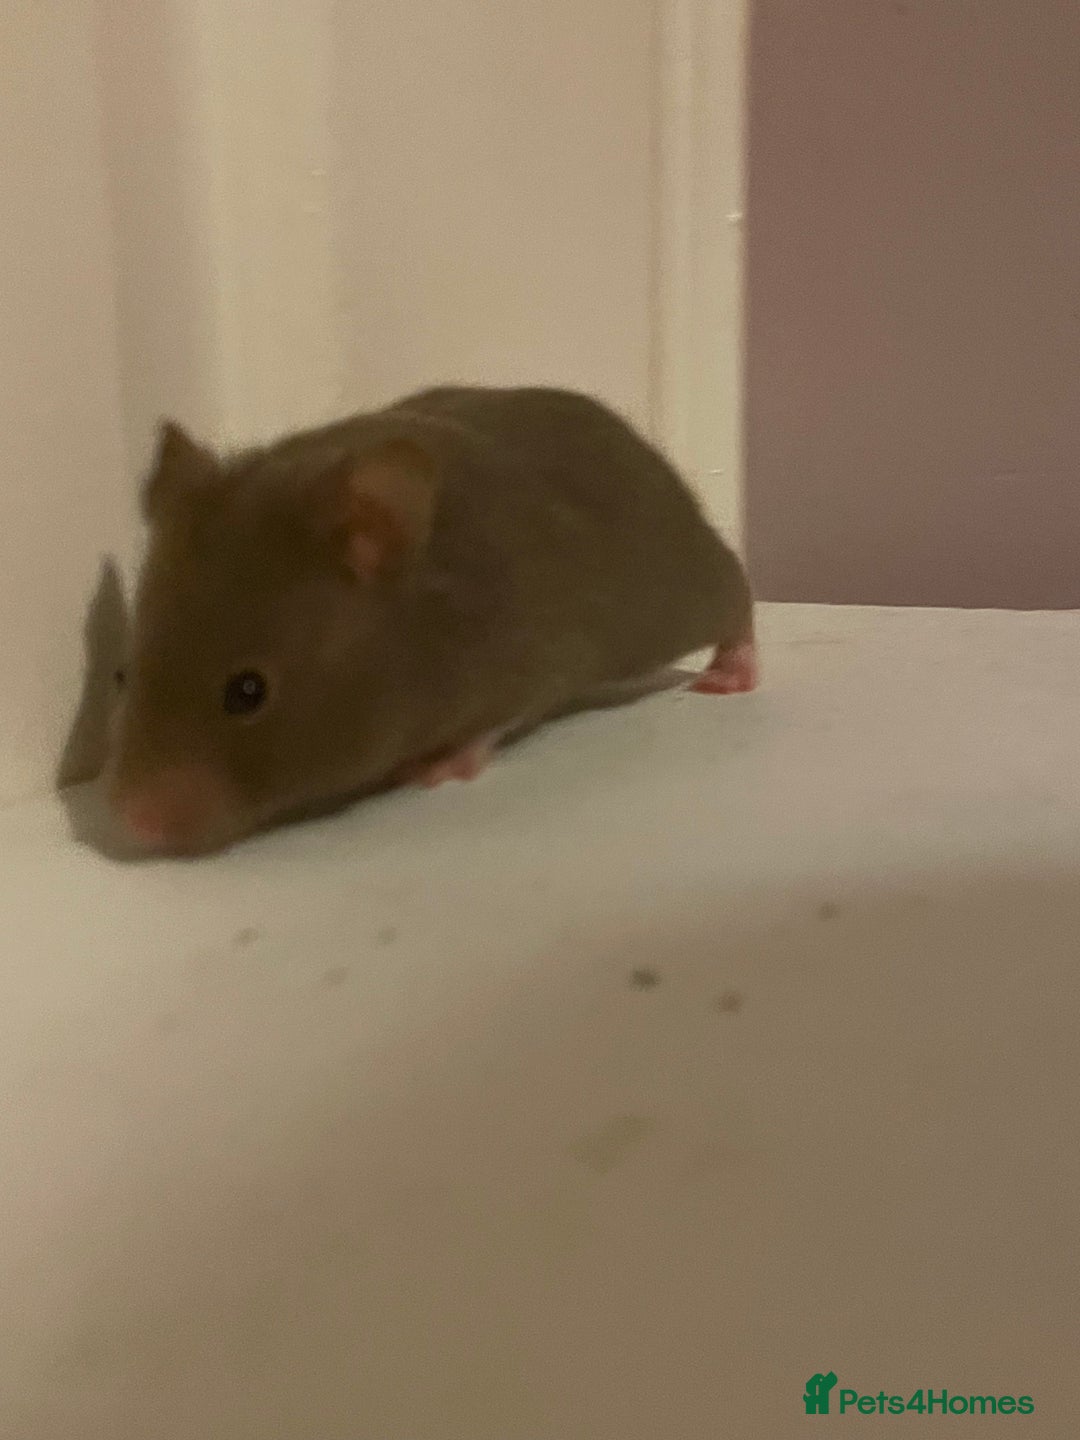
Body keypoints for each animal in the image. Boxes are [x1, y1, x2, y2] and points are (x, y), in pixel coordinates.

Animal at [106, 385, 756, 855]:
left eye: (248, 692)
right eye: (123, 675)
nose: (134, 827)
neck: (418, 623)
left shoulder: (528, 661)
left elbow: (489, 726)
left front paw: (432, 771)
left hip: (683, 587)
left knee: (737, 594)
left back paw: (728, 677)